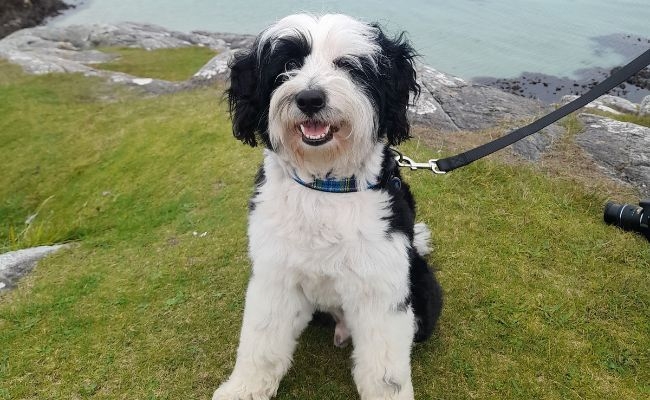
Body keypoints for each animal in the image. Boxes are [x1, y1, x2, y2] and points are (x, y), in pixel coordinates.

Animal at [215, 13, 442, 400]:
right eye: (288, 64)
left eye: (348, 66)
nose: (309, 98)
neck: (325, 186)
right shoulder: (275, 275)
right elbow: (261, 343)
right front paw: (243, 389)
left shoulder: (381, 288)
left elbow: (385, 371)